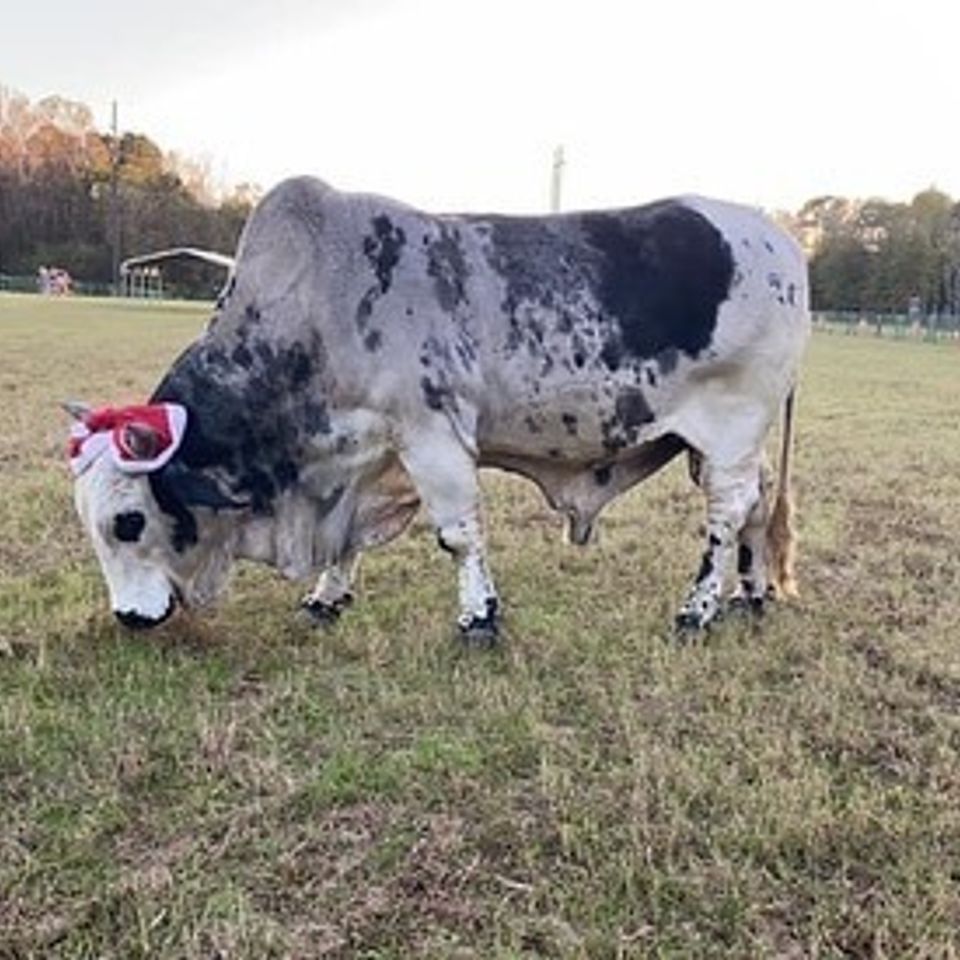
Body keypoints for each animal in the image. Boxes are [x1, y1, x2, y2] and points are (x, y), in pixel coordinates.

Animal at [67, 176, 810, 640]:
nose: (128, 619)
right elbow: (351, 542)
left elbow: (458, 534)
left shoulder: (433, 436)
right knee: (757, 505)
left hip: (731, 430)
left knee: (726, 517)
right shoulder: (370, 453)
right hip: (717, 444)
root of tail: (782, 240)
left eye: (129, 522)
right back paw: (750, 594)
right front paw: (326, 599)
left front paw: (479, 619)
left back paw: (699, 609)